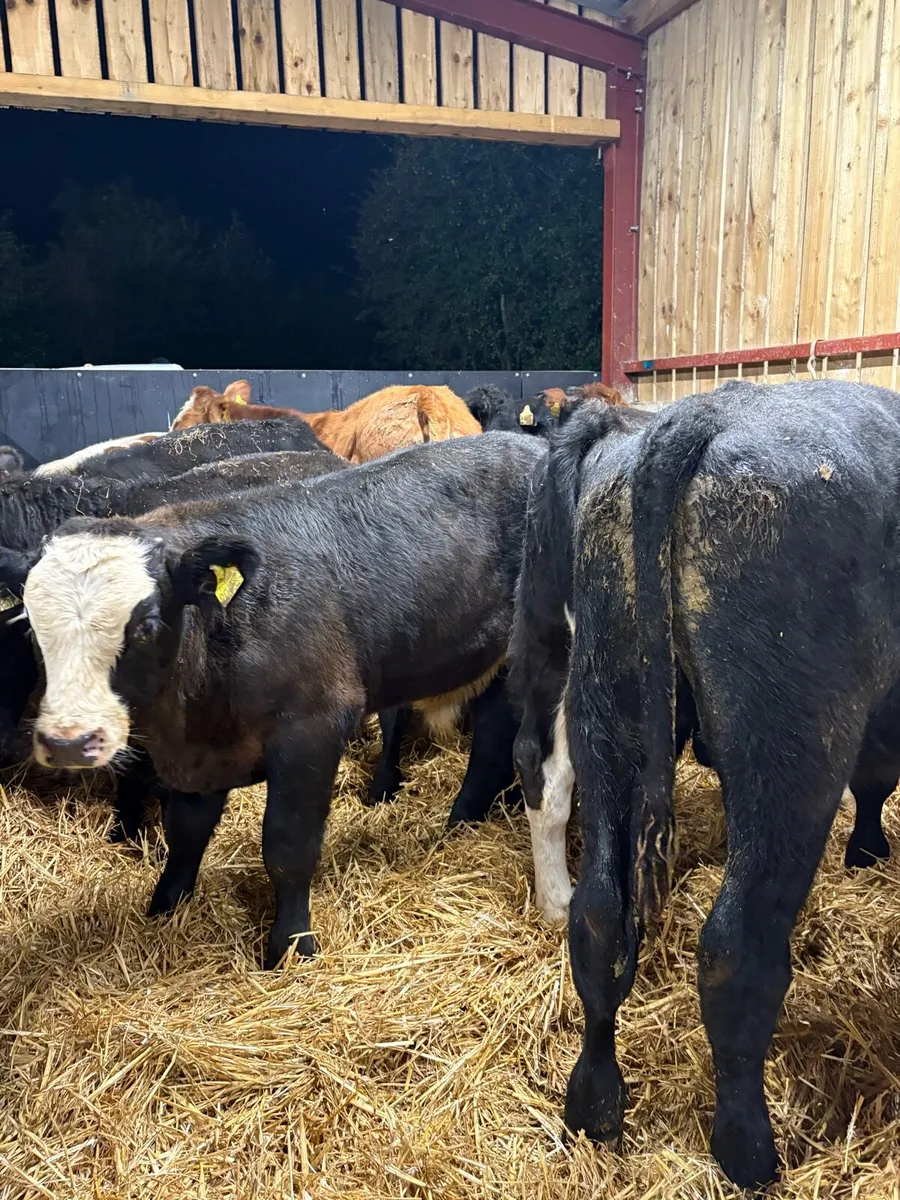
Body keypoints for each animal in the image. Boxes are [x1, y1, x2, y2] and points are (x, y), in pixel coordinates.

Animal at [23, 433, 546, 969]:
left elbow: (288, 847)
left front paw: (292, 945)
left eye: (145, 627)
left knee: (493, 742)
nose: (69, 741)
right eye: (33, 628)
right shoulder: (199, 755)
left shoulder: (311, 731)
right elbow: (185, 835)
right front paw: (165, 909)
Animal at [558, 379, 900, 1188]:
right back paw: (749, 1151)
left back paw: (593, 1107)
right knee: (737, 949)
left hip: (601, 700)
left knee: (597, 919)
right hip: (793, 742)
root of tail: (702, 412)